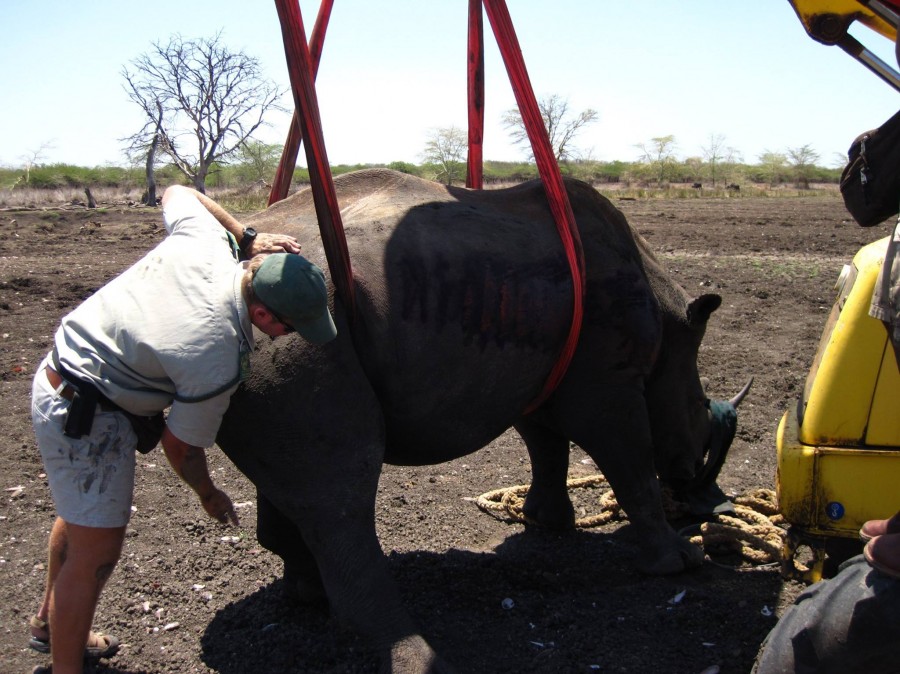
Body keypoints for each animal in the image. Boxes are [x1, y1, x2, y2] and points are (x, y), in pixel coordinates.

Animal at [216, 167, 744, 668]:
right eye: (701, 413)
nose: (708, 506)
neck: (669, 320)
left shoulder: (536, 366)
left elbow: (546, 445)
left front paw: (547, 522)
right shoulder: (609, 382)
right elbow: (631, 463)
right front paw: (681, 563)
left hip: (270, 348)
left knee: (293, 486)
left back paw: (309, 597)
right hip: (294, 339)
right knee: (340, 493)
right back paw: (420, 655)